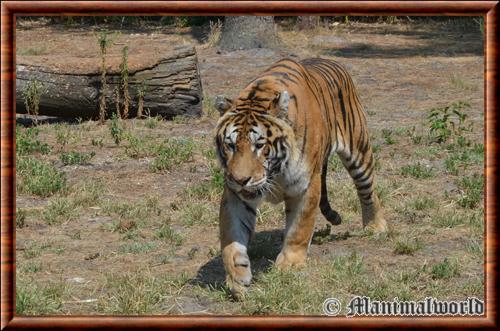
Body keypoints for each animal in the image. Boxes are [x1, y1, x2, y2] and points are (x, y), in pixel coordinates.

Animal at [213, 57, 388, 298]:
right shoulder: (235, 195)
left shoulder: (306, 186)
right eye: (230, 146)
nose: (241, 180)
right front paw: (237, 276)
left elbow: (299, 228)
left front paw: (289, 264)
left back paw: (375, 226)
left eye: (259, 145)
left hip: (358, 150)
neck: (275, 172)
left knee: (368, 191)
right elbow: (231, 236)